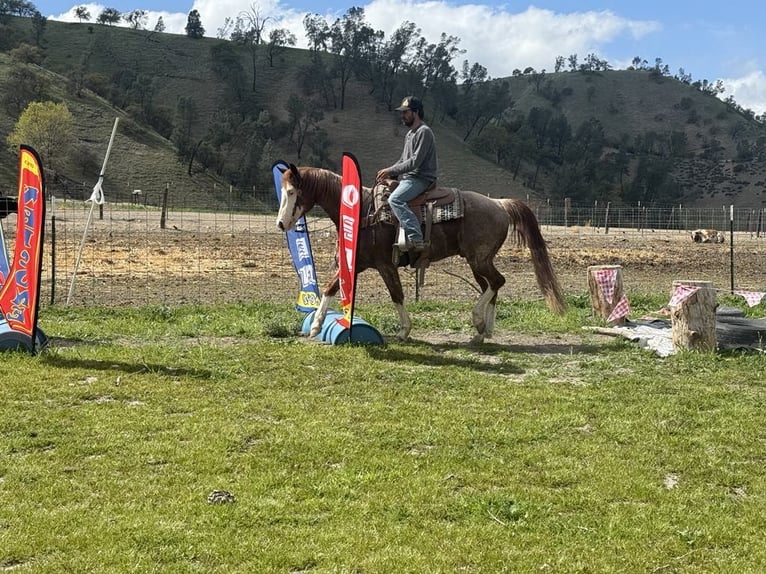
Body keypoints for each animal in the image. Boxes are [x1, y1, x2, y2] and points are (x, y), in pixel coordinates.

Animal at [276, 164, 566, 344]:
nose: (281, 223)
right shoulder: (357, 263)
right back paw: (484, 331)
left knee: (497, 282)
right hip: (477, 262)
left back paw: (478, 321)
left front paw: (404, 331)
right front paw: (315, 326)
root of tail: (499, 203)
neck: (363, 213)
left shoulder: (385, 265)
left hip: (479, 259)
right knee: (491, 286)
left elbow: (397, 294)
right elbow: (330, 288)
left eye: (291, 191)